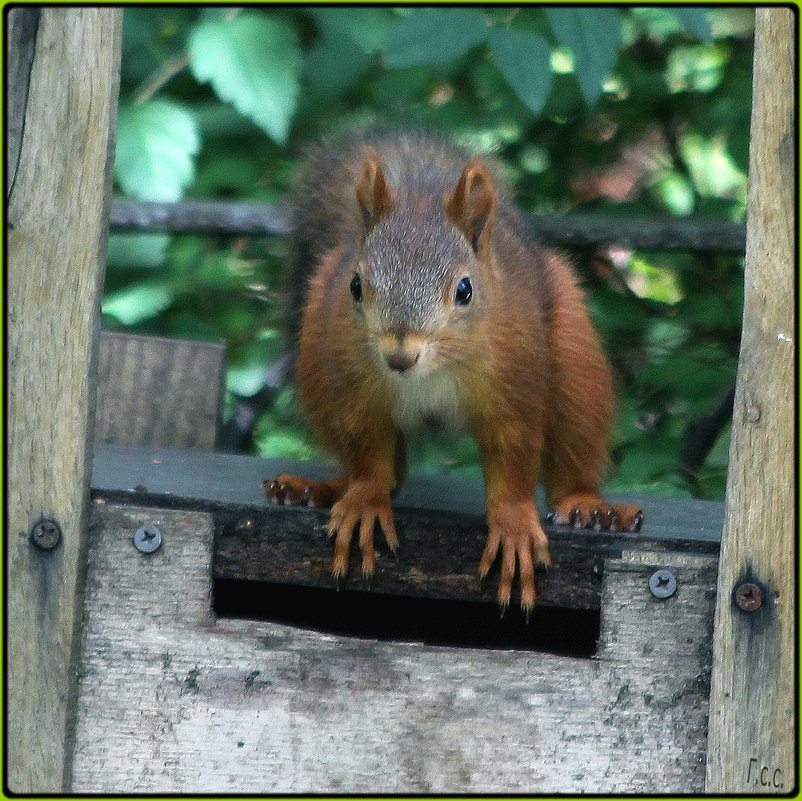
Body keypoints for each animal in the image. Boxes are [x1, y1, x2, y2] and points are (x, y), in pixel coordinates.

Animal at [266, 131, 640, 616]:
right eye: (355, 286)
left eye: (465, 290)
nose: (399, 356)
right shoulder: (355, 385)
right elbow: (368, 453)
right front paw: (364, 500)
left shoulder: (514, 382)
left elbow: (514, 456)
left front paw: (514, 525)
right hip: (315, 358)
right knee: (387, 470)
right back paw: (321, 488)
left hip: (578, 367)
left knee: (573, 456)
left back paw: (588, 507)